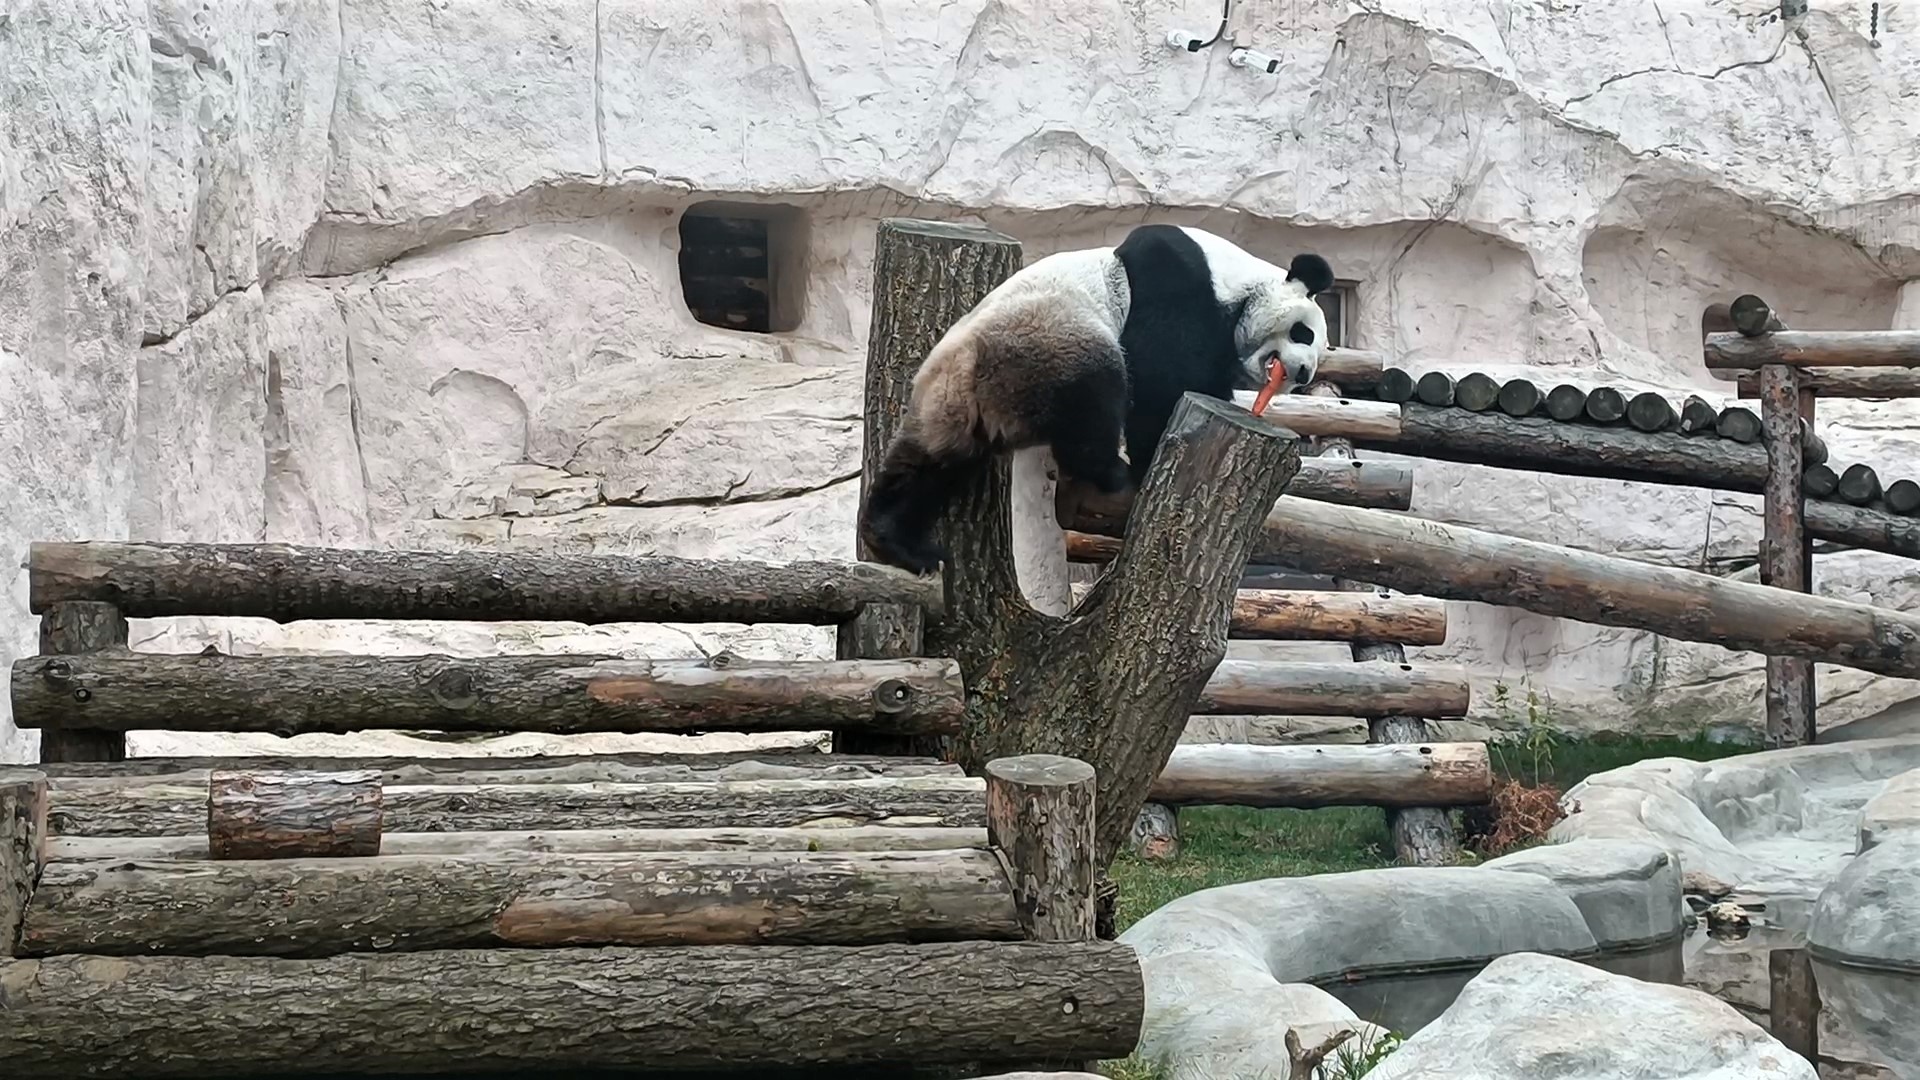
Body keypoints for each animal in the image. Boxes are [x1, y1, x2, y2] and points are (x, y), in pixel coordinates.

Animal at [860, 222, 1336, 576]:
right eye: (1304, 333)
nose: (1304, 373)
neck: (1237, 279)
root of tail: (966, 371)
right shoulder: (1176, 279)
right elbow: (1162, 369)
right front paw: (1148, 460)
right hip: (1050, 340)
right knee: (1094, 396)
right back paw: (1110, 471)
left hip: (947, 407)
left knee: (928, 467)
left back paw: (896, 541)